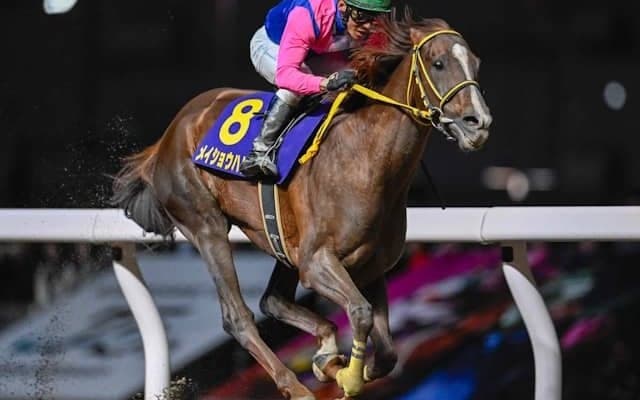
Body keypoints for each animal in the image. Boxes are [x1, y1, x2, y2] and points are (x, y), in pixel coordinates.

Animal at [112, 9, 491, 400]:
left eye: (475, 63)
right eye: (438, 62)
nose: (478, 123)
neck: (366, 157)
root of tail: (169, 134)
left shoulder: (370, 266)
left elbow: (386, 353)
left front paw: (340, 365)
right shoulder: (317, 260)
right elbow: (359, 312)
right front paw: (349, 376)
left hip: (283, 239)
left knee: (272, 300)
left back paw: (324, 351)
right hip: (207, 227)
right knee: (238, 316)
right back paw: (295, 386)